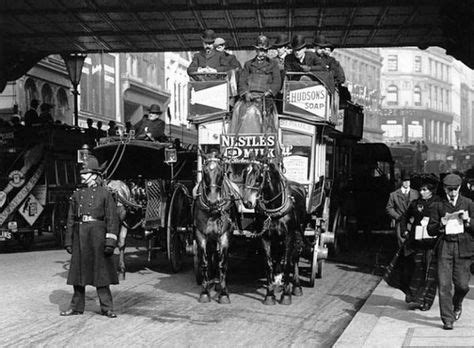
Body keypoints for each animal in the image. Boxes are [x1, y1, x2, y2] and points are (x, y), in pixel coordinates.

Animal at [193, 154, 239, 304]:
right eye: (205, 171)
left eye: (220, 172)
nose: (213, 200)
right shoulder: (200, 234)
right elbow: (204, 262)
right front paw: (204, 291)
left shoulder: (224, 235)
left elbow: (222, 264)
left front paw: (224, 294)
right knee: (213, 253)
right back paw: (213, 281)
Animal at [243, 160, 306, 304]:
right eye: (244, 175)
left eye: (259, 178)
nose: (247, 202)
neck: (274, 208)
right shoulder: (265, 237)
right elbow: (269, 264)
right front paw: (270, 295)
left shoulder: (289, 236)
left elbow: (287, 262)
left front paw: (286, 295)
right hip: (277, 238)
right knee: (278, 256)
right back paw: (277, 282)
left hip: (298, 233)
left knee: (295, 257)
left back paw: (296, 286)